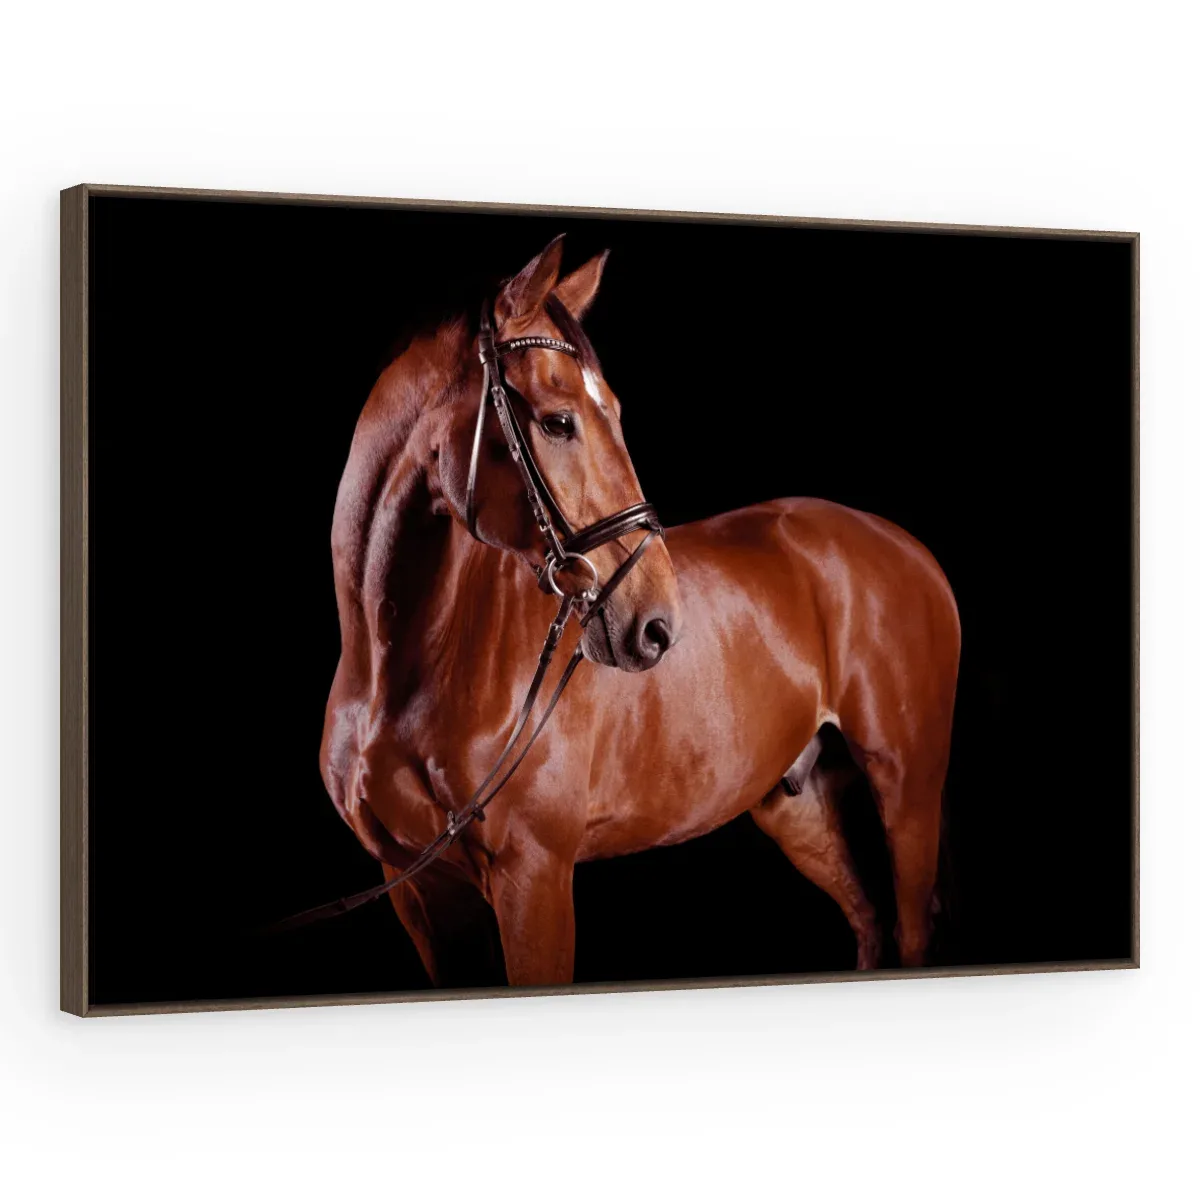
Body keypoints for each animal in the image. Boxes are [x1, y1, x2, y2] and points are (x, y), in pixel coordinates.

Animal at [318, 235, 961, 987]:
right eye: (558, 421)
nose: (658, 625)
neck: (400, 673)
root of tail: (906, 546)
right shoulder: (419, 891)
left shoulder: (534, 877)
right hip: (798, 806)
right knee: (869, 923)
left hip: (907, 787)